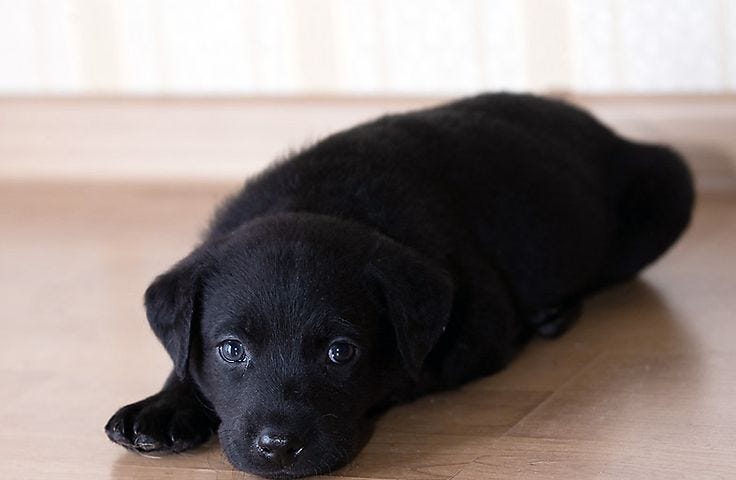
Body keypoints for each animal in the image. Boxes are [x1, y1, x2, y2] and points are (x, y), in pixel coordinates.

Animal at [105, 93, 696, 476]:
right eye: (231, 349)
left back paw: (551, 314)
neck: (317, 199)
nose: (279, 447)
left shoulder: (472, 330)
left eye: (341, 352)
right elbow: (185, 359)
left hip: (671, 186)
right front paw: (163, 407)